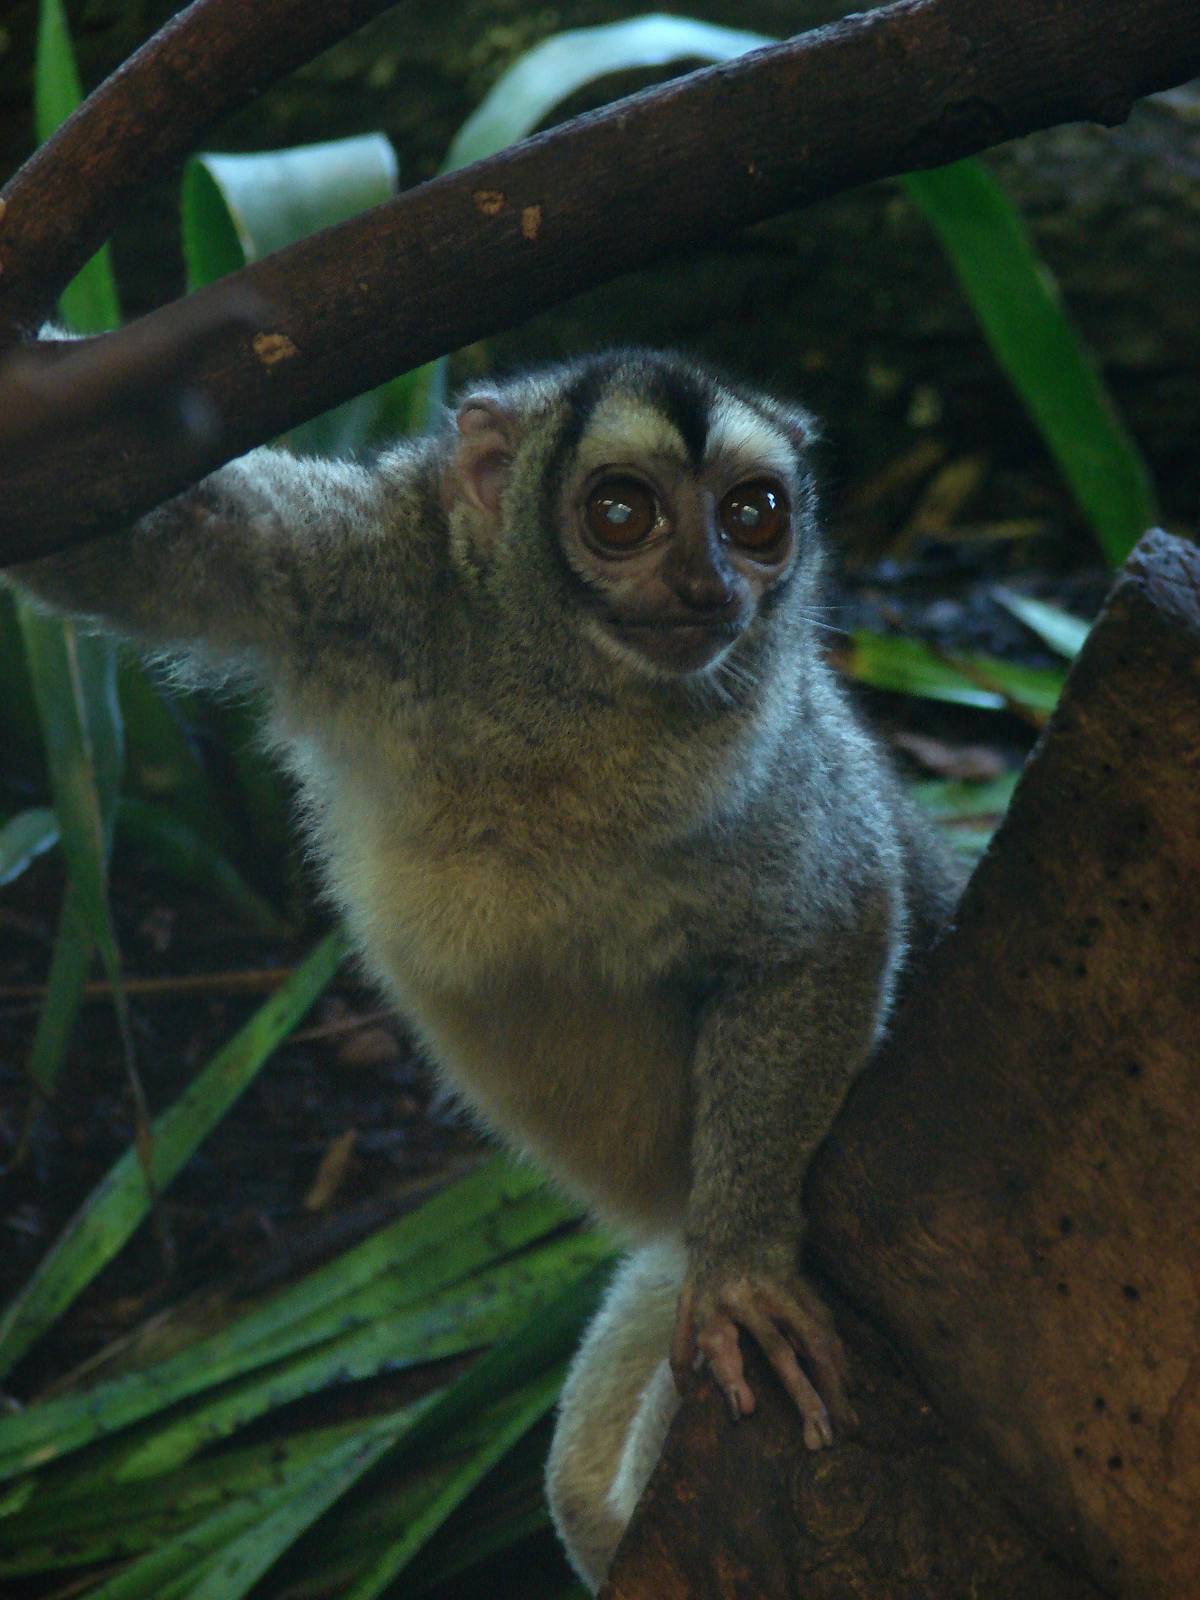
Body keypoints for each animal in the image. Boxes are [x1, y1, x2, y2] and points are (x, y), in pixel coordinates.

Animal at [7, 348, 962, 1589]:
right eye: (621, 513)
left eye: (755, 516)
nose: (709, 586)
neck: (565, 687)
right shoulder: (365, 579)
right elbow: (146, 546)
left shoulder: (775, 755)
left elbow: (832, 919)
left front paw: (743, 1260)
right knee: (581, 1496)